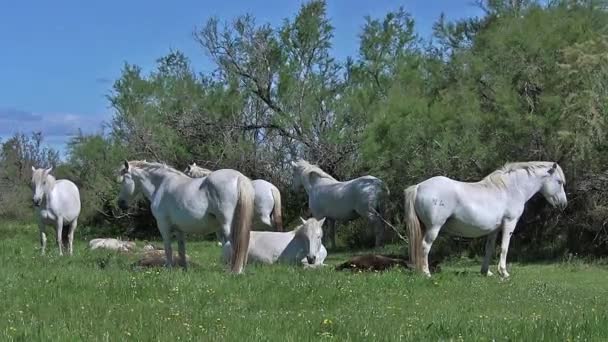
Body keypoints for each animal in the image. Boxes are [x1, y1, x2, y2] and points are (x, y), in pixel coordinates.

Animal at [117, 161, 255, 276]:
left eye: (123, 181)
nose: (120, 203)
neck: (161, 184)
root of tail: (239, 177)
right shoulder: (179, 229)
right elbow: (181, 249)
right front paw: (184, 270)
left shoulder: (163, 225)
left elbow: (168, 249)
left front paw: (169, 270)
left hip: (227, 226)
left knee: (235, 245)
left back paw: (235, 271)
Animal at [406, 161, 568, 278]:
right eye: (559, 182)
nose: (563, 204)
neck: (511, 189)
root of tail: (418, 187)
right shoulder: (509, 223)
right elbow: (504, 247)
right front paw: (504, 272)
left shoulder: (494, 230)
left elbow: (489, 249)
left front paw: (486, 272)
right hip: (434, 228)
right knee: (425, 246)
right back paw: (426, 274)